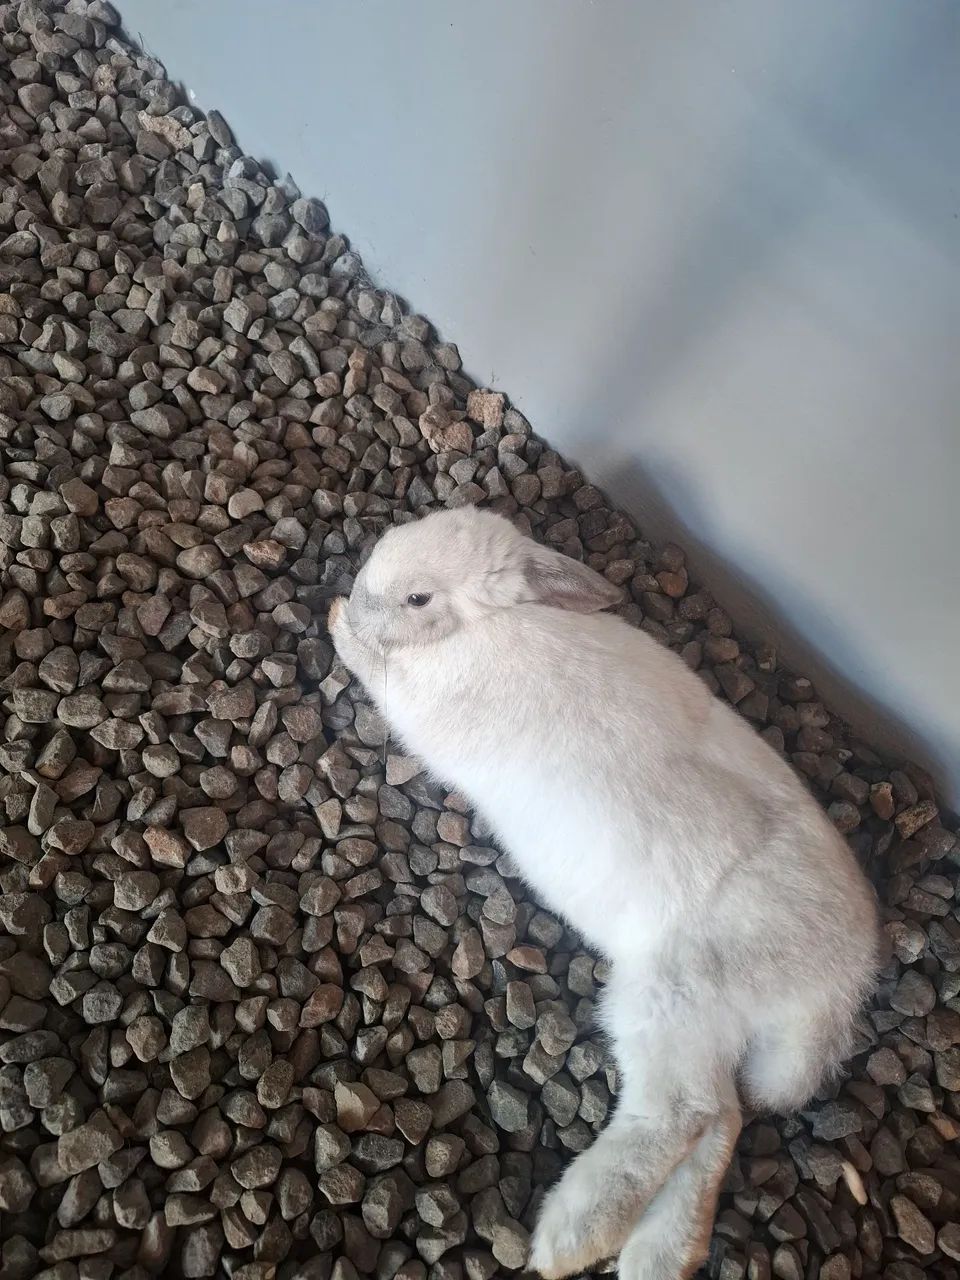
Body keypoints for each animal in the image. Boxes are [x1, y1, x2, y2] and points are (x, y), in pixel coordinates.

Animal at [328, 505, 880, 1280]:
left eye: (417, 597)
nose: (354, 593)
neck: (483, 624)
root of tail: (835, 983)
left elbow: (369, 666)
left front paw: (336, 621)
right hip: (700, 1024)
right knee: (722, 1117)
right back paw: (659, 1257)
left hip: (668, 996)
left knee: (680, 1114)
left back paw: (570, 1237)